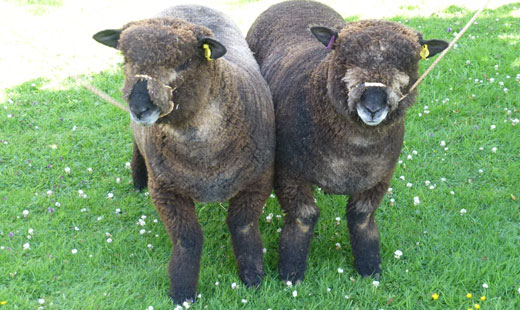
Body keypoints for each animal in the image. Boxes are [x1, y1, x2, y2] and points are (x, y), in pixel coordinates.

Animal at [92, 4, 276, 306]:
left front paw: (253, 278)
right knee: (136, 148)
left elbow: (242, 226)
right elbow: (187, 239)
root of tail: (188, 6)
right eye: (125, 59)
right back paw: (138, 181)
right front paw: (182, 292)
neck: (205, 158)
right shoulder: (165, 191)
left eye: (184, 63)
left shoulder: (257, 182)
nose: (139, 108)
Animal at [246, 0, 448, 280]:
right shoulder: (289, 172)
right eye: (343, 54)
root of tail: (295, 2)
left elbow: (362, 218)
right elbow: (303, 217)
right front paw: (290, 273)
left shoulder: (380, 177)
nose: (373, 105)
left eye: (410, 61)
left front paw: (370, 269)